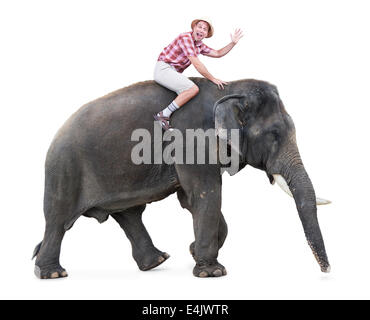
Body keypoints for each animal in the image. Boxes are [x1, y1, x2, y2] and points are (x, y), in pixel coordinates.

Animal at [33, 78, 330, 280]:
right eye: (274, 134)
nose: (327, 270)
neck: (228, 89)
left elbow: (190, 199)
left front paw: (194, 252)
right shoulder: (192, 140)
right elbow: (206, 193)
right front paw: (212, 273)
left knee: (129, 214)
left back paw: (156, 262)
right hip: (64, 170)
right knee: (58, 219)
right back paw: (52, 274)